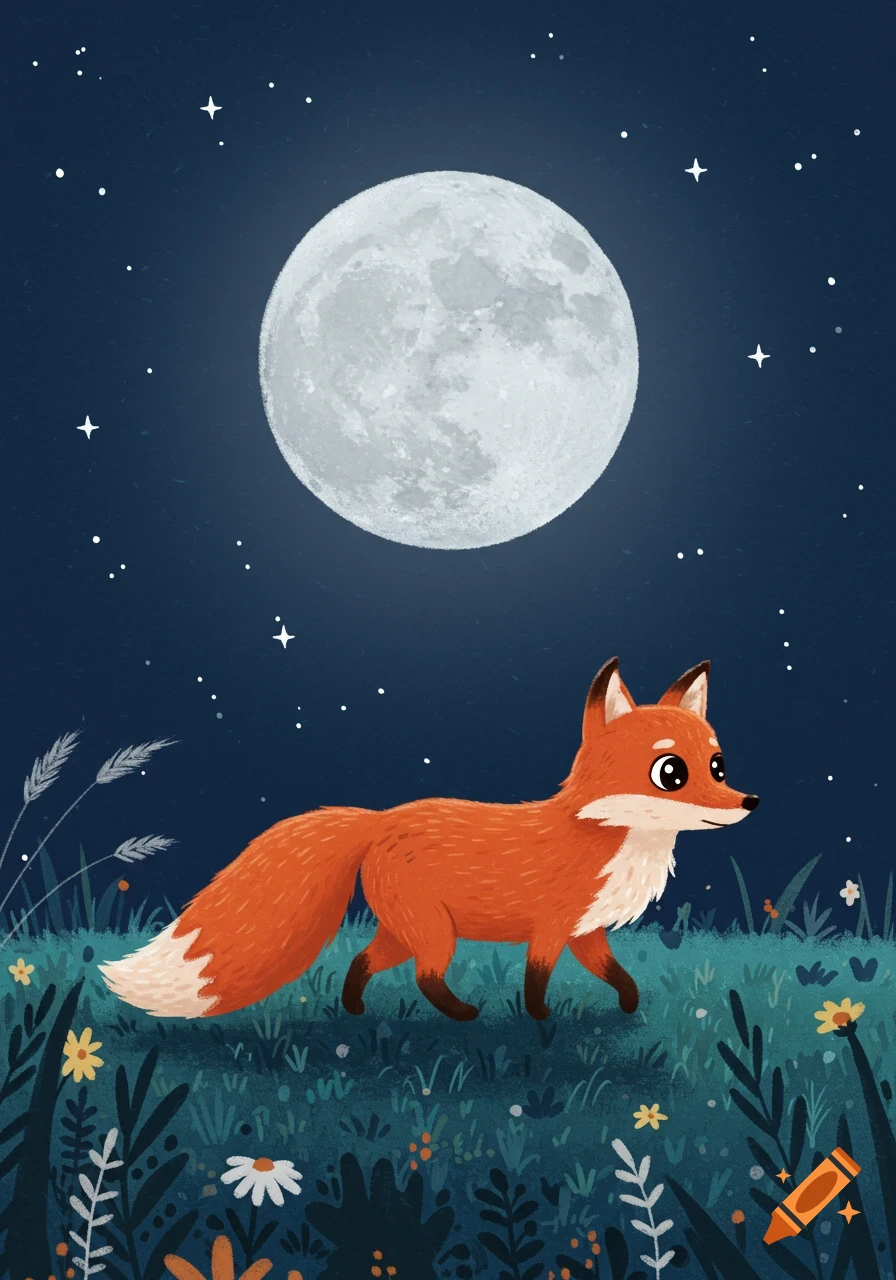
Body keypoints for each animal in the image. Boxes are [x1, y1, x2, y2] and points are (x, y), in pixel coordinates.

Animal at [99, 657, 758, 1021]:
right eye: (671, 773)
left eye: (719, 766)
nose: (749, 803)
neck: (603, 838)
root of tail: (378, 818)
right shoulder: (551, 926)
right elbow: (537, 979)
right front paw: (541, 1022)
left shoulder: (587, 931)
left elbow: (616, 975)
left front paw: (626, 1007)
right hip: (434, 932)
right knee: (423, 976)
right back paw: (463, 1015)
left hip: (406, 930)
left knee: (365, 962)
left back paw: (356, 1011)